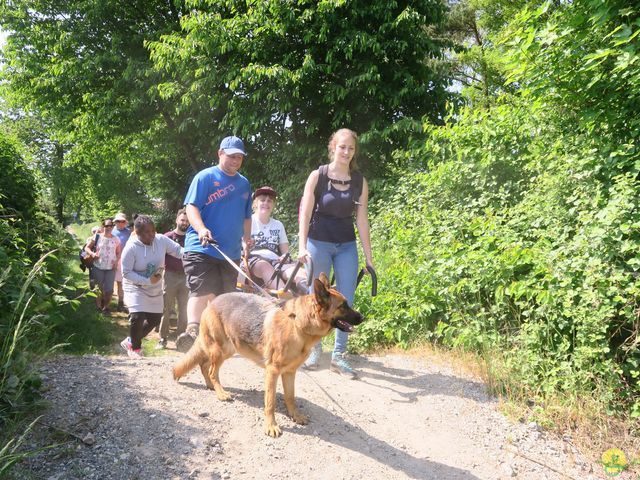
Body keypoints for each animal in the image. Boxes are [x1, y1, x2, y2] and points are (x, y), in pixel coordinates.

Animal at [174, 274, 364, 436]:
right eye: (343, 306)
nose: (362, 317)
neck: (297, 324)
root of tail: (212, 302)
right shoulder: (272, 371)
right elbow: (270, 402)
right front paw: (271, 426)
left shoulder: (290, 372)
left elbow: (290, 397)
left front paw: (295, 415)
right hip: (220, 349)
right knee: (212, 370)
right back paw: (221, 393)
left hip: (228, 349)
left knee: (205, 366)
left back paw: (211, 386)